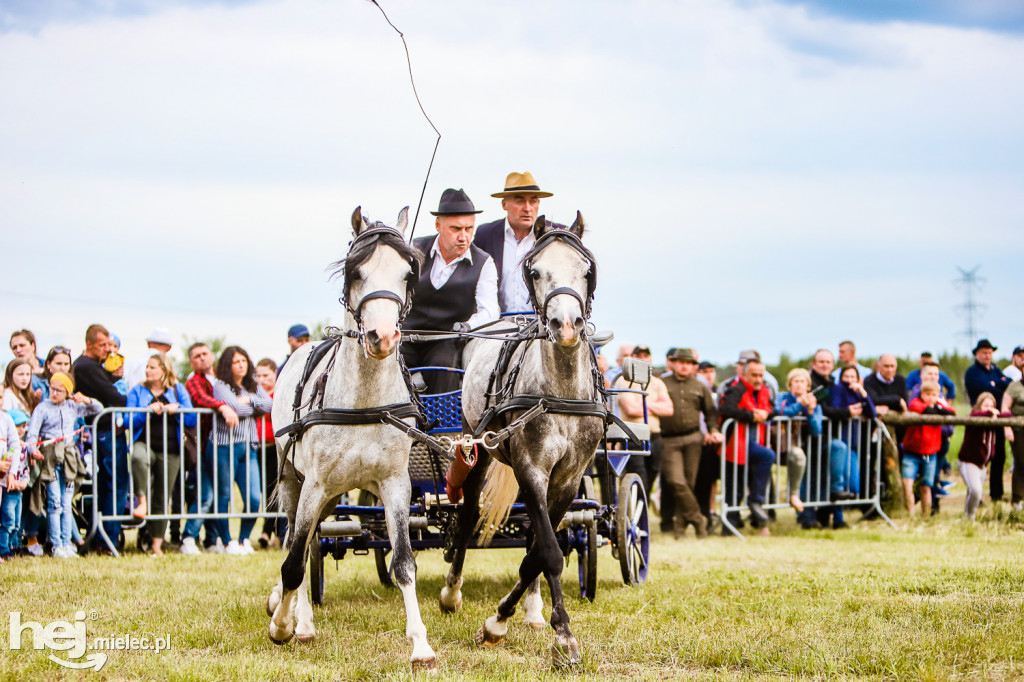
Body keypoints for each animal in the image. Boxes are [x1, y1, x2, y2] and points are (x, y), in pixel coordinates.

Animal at [264, 205, 436, 667]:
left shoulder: (396, 484)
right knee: (298, 542)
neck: (365, 401)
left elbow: (404, 562)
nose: (383, 337)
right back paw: (298, 619)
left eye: (407, 273)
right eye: (356, 272)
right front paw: (282, 625)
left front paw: (420, 644)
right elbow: (293, 561)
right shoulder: (315, 483)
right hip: (296, 482)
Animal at [436, 212, 602, 663]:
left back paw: (532, 609)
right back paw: (452, 593)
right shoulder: (531, 469)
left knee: (531, 533)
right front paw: (563, 635)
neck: (561, 392)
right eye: (536, 270)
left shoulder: (567, 480)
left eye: (587, 270)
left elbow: (537, 553)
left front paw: (506, 619)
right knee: (468, 516)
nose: (567, 326)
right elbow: (549, 552)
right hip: (478, 447)